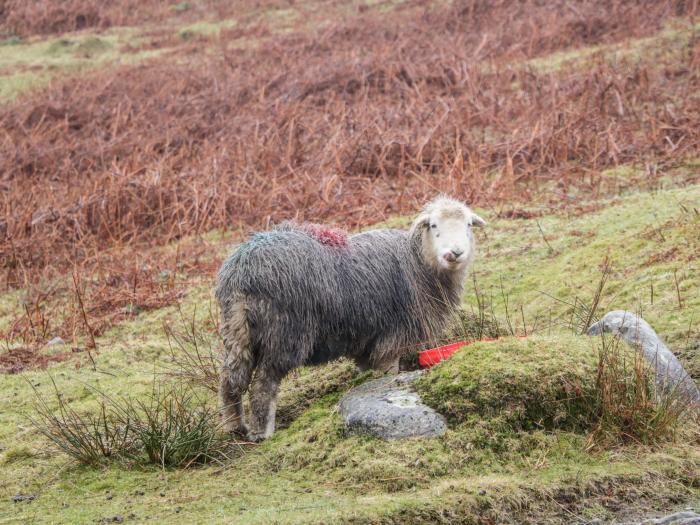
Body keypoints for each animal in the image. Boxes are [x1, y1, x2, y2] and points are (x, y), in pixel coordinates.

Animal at [216, 195, 484, 438]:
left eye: (468, 225)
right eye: (434, 225)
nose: (455, 253)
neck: (418, 263)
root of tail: (243, 271)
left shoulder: (366, 341)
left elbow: (367, 371)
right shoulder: (392, 337)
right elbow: (389, 373)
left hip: (236, 330)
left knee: (230, 379)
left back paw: (234, 427)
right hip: (284, 332)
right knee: (264, 385)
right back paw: (263, 433)